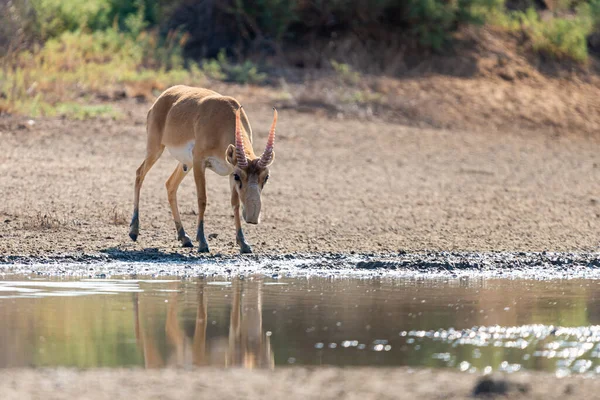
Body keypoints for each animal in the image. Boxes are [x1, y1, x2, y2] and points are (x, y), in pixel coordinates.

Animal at [129, 85, 278, 253]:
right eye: (238, 176)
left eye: (266, 177)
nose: (252, 217)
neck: (223, 118)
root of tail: (163, 96)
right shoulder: (200, 162)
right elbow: (202, 200)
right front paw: (202, 242)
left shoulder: (228, 168)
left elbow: (235, 203)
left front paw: (243, 243)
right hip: (156, 149)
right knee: (139, 174)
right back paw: (134, 231)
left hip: (186, 163)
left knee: (170, 185)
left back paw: (184, 237)